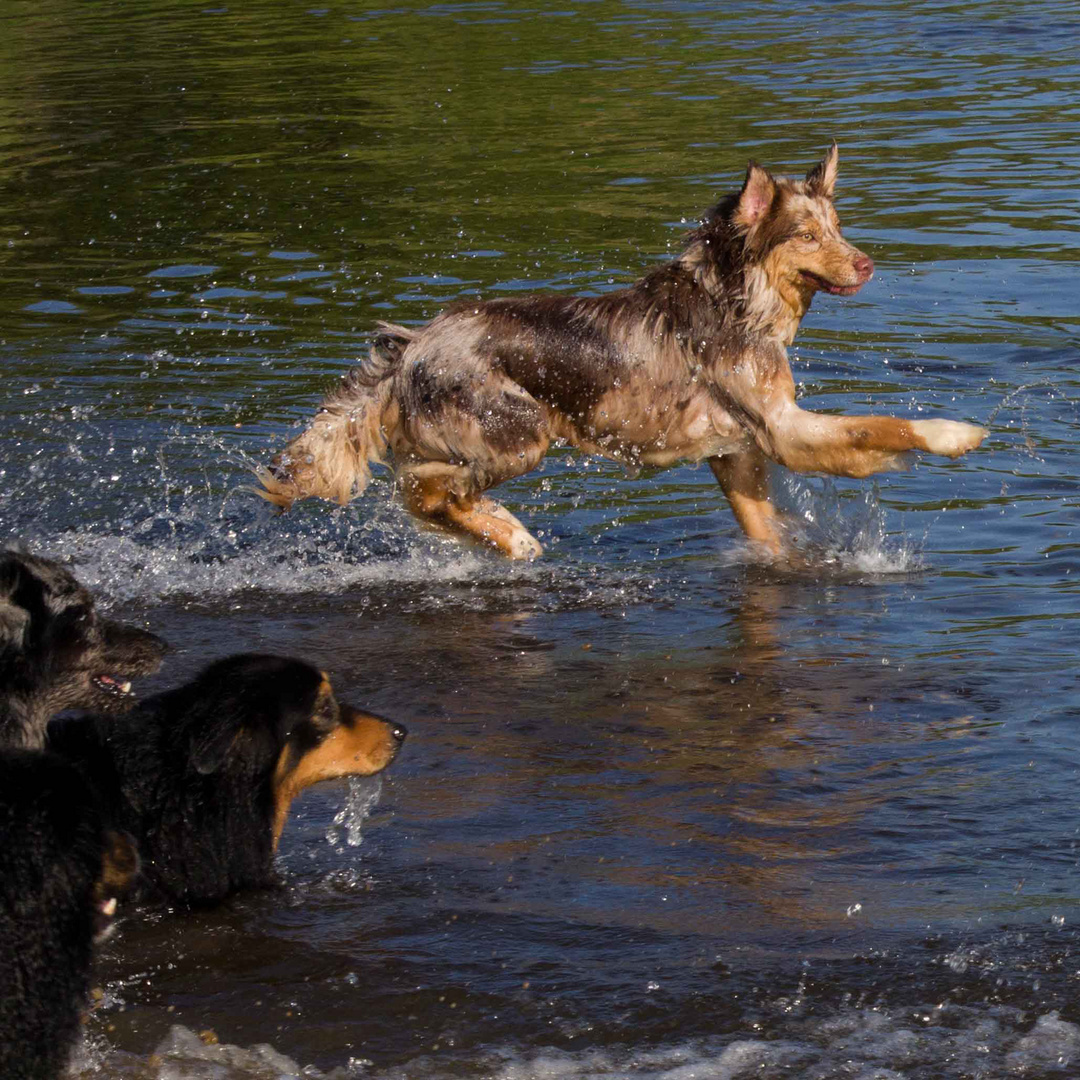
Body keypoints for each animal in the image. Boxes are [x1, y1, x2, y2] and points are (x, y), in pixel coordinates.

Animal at [257, 145, 984, 557]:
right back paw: (512, 534)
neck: (734, 301)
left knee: (422, 490)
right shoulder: (783, 431)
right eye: (807, 235)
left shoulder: (737, 451)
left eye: (837, 227)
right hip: (517, 433)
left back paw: (506, 536)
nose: (866, 263)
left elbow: (769, 537)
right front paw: (953, 433)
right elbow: (883, 424)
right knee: (429, 492)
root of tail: (411, 346)